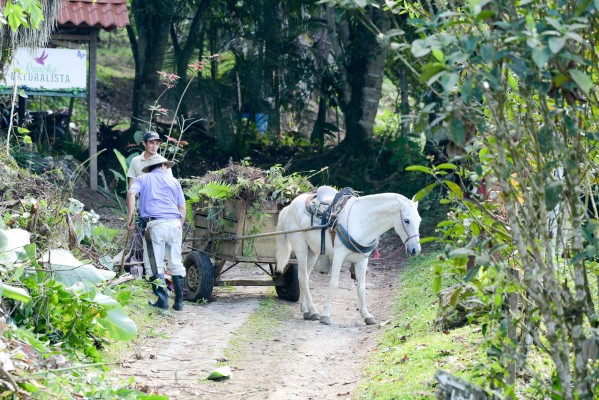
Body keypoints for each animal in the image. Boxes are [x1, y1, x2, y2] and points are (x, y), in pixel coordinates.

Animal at [276, 191, 422, 324]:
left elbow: (361, 287)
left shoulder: (362, 260)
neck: (361, 221)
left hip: (312, 252)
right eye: (407, 220)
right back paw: (314, 311)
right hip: (301, 249)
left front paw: (367, 316)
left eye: (419, 220)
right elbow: (334, 284)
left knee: (303, 277)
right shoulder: (339, 255)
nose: (415, 250)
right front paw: (325, 316)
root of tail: (289, 207)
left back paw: (306, 310)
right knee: (303, 278)